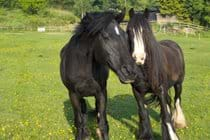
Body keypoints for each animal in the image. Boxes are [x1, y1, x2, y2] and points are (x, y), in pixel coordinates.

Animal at [59, 9, 139, 139]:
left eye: (125, 36)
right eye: (105, 36)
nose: (130, 72)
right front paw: (83, 134)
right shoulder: (73, 95)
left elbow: (102, 124)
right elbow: (79, 123)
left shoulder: (101, 93)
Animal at [125, 8, 186, 139]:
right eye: (129, 31)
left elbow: (166, 117)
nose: (139, 58)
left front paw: (172, 136)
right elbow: (143, 114)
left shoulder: (161, 90)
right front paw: (145, 135)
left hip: (178, 84)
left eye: (146, 31)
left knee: (177, 100)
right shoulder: (138, 92)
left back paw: (179, 122)